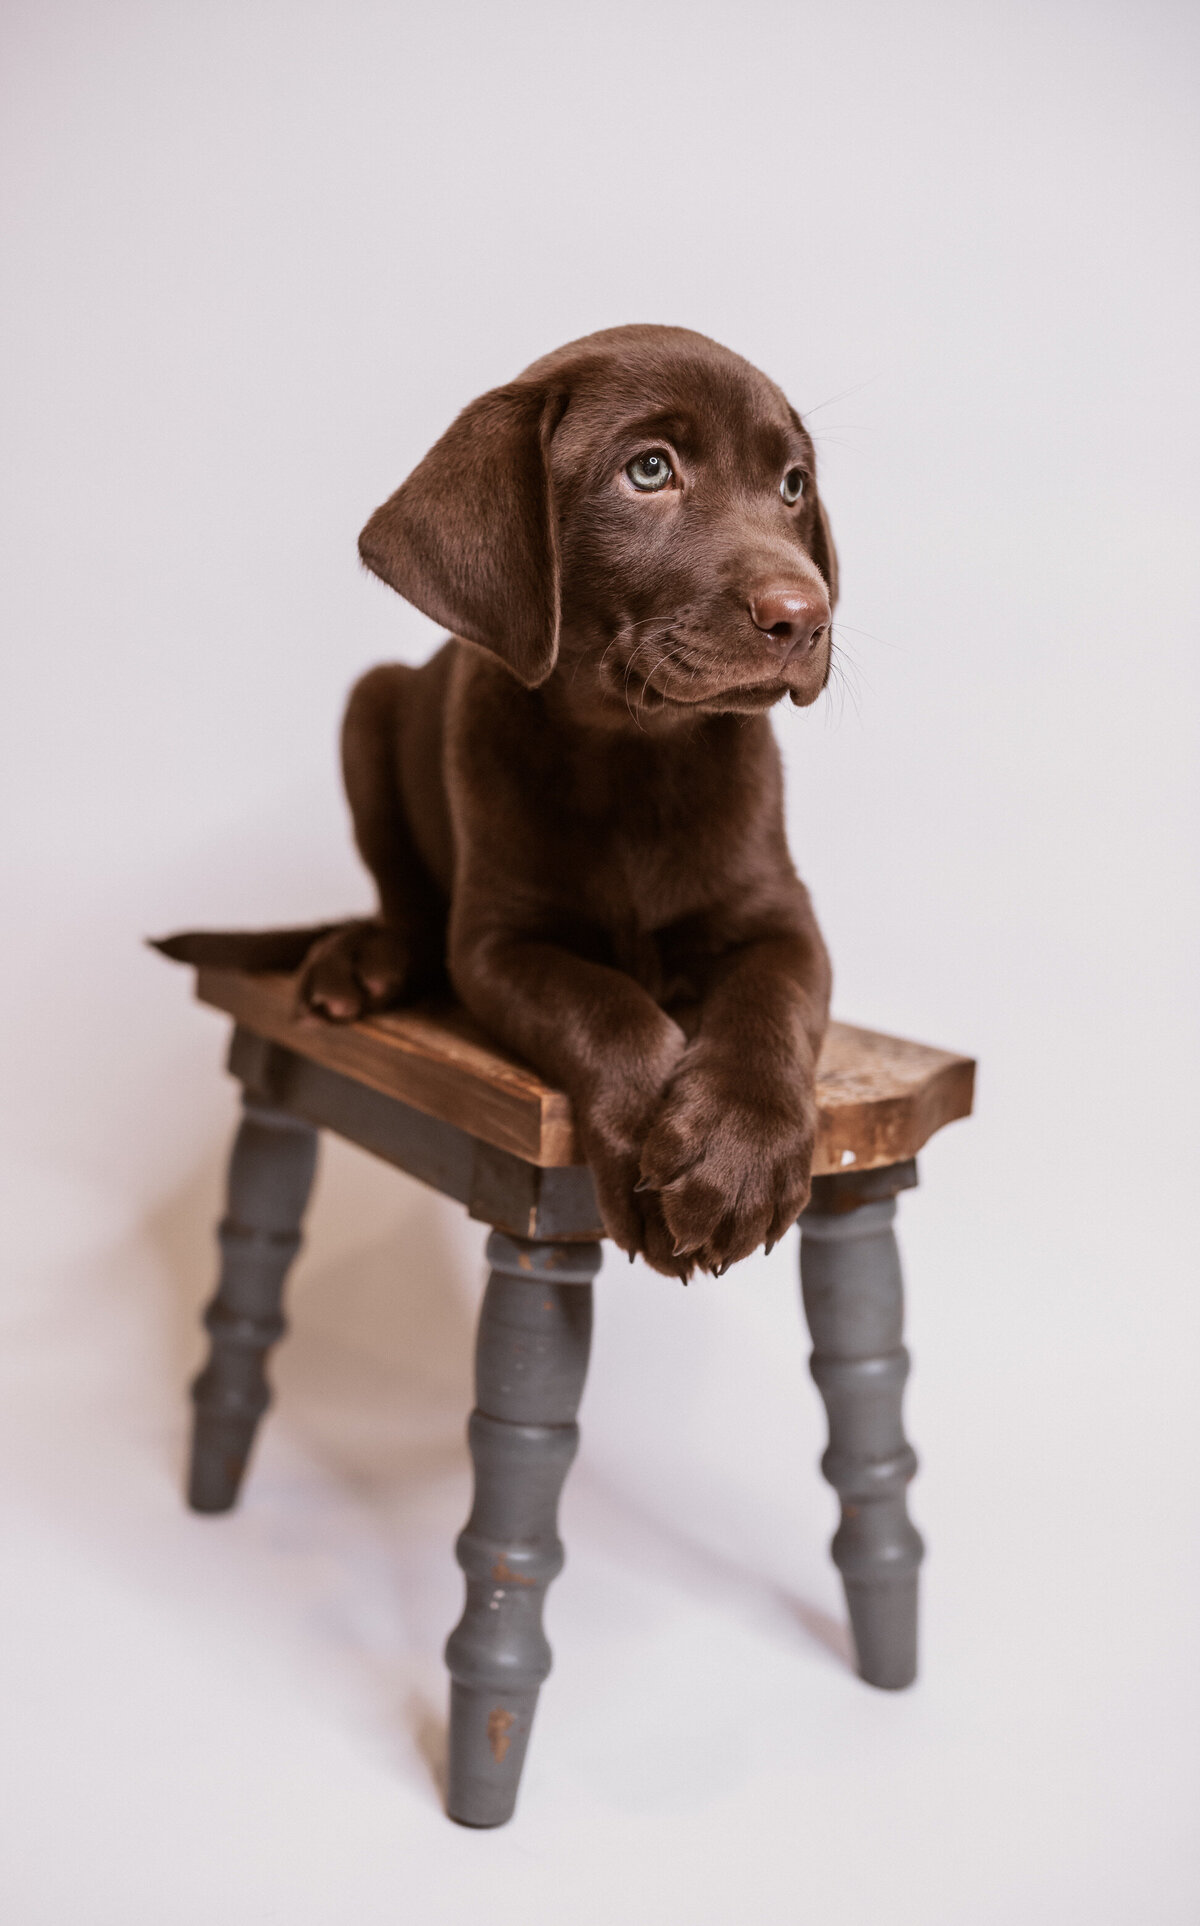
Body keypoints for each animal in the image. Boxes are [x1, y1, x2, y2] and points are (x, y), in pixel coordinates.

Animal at [173, 331, 839, 1278]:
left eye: (793, 486)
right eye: (648, 469)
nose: (805, 616)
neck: (634, 753)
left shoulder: (783, 919)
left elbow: (769, 1003)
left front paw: (737, 1154)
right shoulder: (499, 945)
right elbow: (605, 1005)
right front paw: (649, 1147)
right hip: (369, 707)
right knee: (410, 908)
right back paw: (364, 960)